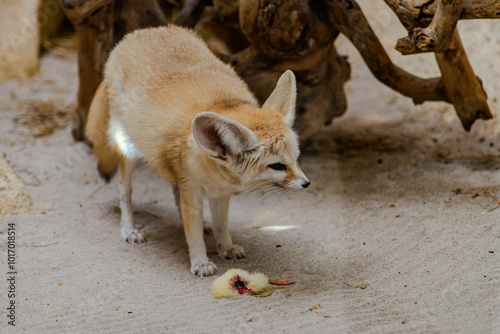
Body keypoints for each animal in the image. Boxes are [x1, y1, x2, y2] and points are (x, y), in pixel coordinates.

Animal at [86, 26, 310, 276]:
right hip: (129, 152)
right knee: (125, 193)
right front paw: (200, 261)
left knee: (174, 194)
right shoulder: (191, 189)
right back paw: (129, 229)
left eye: (297, 159)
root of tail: (139, 33)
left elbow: (221, 224)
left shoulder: (219, 193)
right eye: (278, 166)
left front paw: (226, 246)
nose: (306, 183)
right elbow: (192, 232)